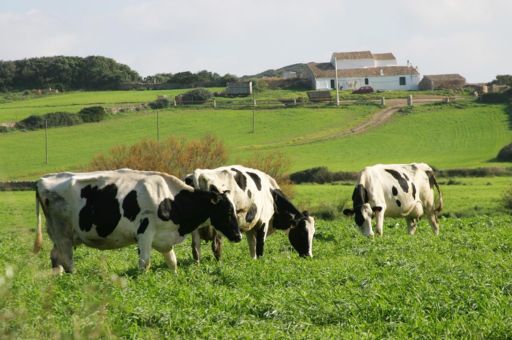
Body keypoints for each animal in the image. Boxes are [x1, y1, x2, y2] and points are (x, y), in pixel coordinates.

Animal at [33, 169, 242, 274]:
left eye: (235, 210)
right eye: (227, 212)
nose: (239, 236)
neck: (169, 199)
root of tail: (42, 180)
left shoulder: (164, 238)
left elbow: (172, 262)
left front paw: (174, 278)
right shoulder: (145, 233)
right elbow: (145, 263)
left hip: (58, 235)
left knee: (55, 256)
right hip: (63, 234)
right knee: (67, 260)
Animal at [186, 165, 314, 260]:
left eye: (313, 233)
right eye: (302, 232)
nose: (309, 255)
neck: (271, 194)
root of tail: (200, 173)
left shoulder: (251, 227)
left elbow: (253, 248)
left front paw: (253, 262)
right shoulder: (263, 222)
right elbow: (260, 247)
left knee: (196, 249)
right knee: (216, 246)